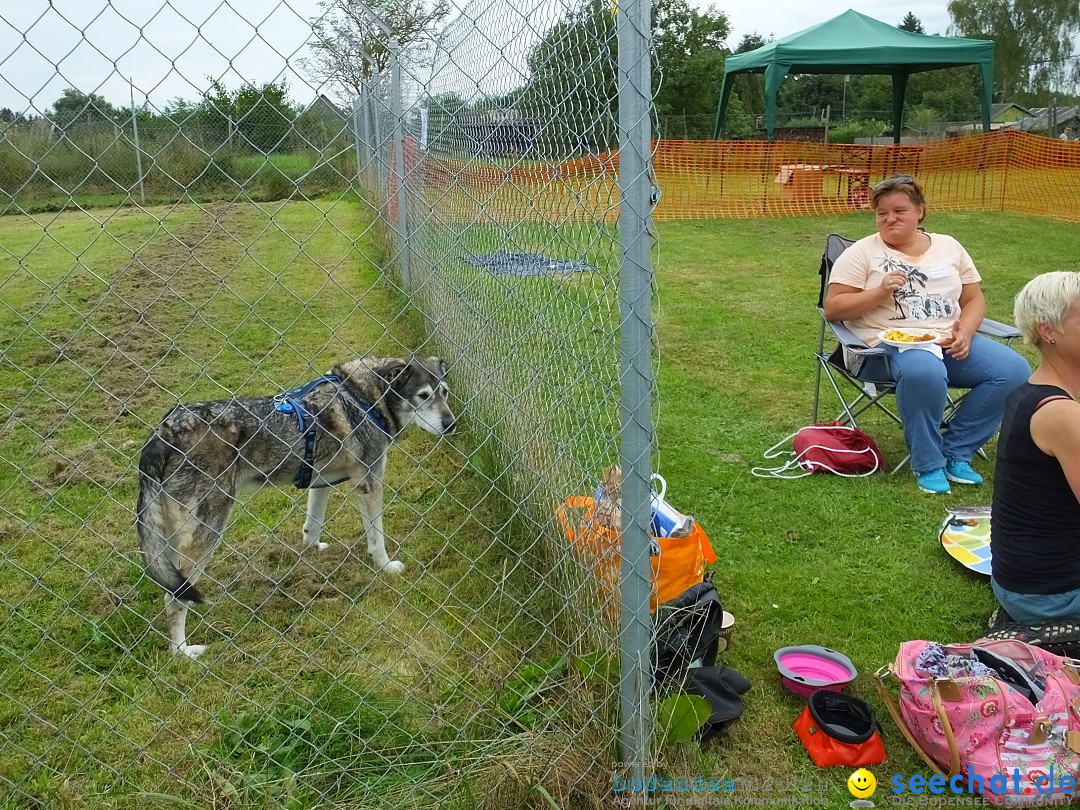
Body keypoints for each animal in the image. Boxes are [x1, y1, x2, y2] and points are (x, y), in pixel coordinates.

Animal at [136, 354, 455, 660]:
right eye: (423, 396)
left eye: (444, 392)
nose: (451, 424)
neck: (363, 397)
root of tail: (163, 432)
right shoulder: (369, 483)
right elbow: (377, 538)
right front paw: (386, 567)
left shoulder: (320, 482)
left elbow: (313, 526)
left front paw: (313, 553)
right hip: (207, 531)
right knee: (175, 599)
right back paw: (182, 652)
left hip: (170, 540)